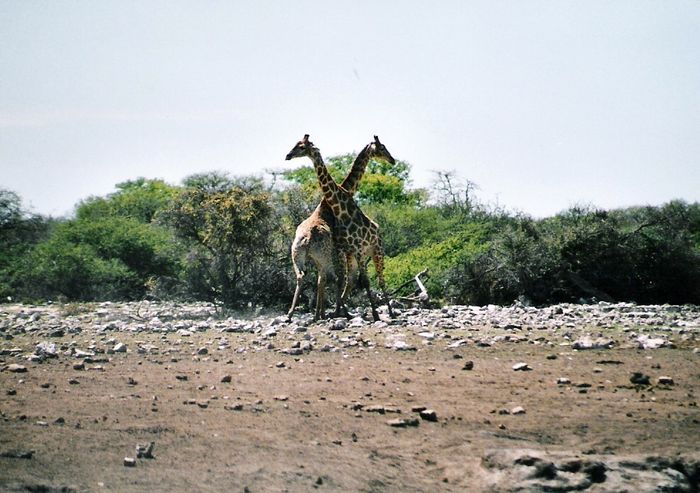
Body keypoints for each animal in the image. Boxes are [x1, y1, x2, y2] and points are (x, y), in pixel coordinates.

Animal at [284, 133, 394, 320]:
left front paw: (326, 312)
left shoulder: (348, 249)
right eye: (382, 147)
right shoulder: (345, 249)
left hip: (371, 251)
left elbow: (350, 280)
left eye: (301, 146)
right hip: (332, 255)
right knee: (341, 278)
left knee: (375, 279)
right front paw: (330, 312)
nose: (392, 160)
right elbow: (348, 280)